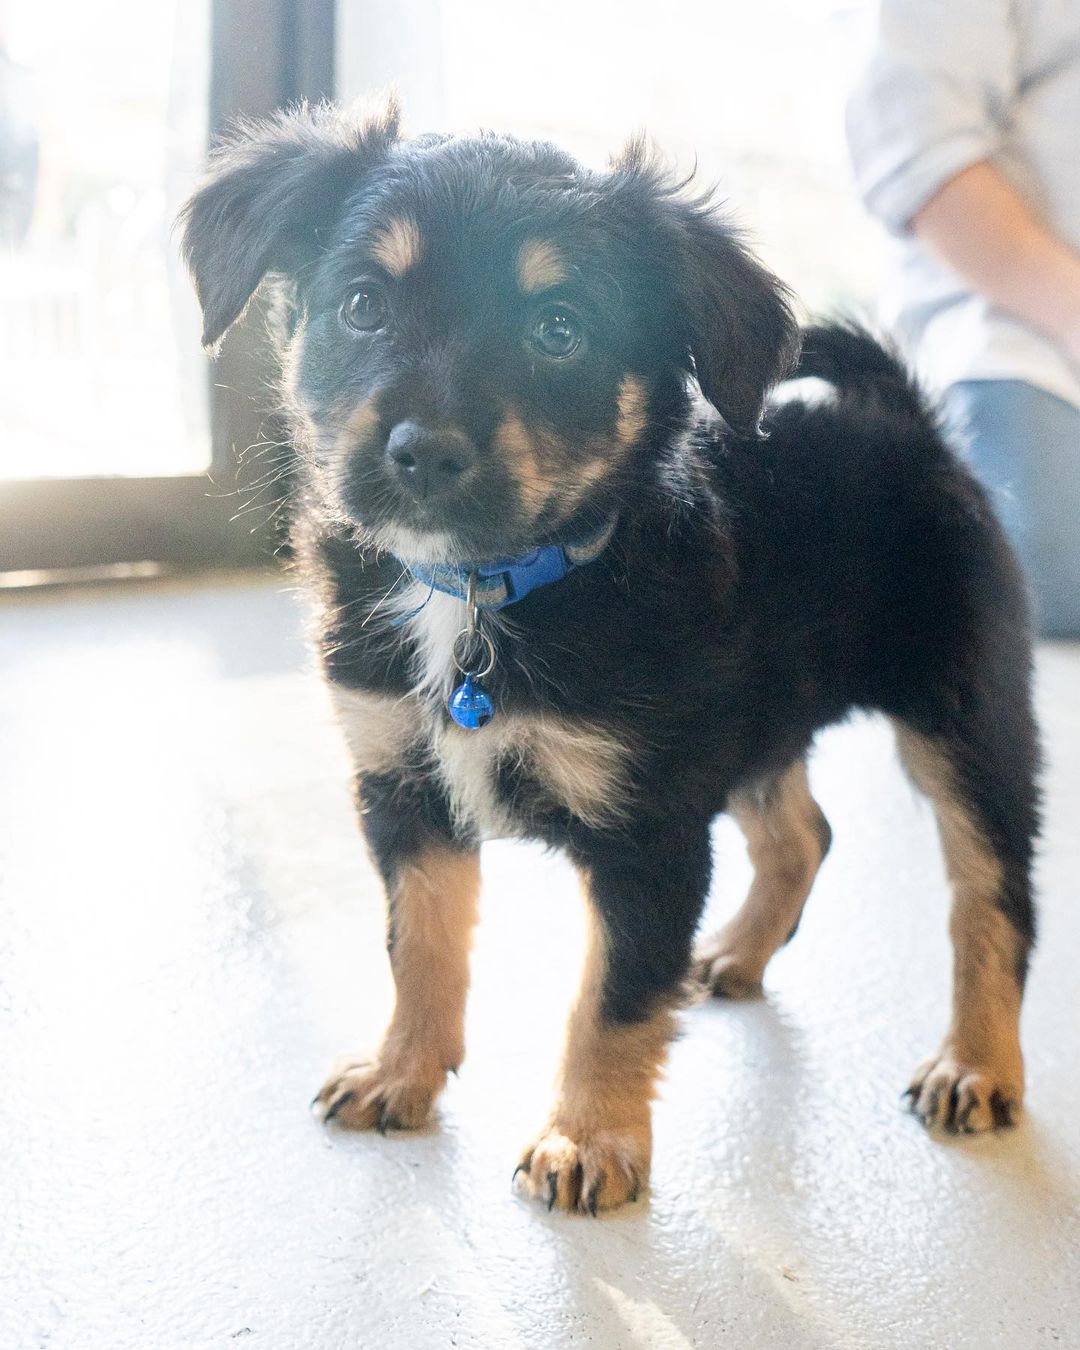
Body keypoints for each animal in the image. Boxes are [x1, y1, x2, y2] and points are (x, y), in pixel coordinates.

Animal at [176, 97, 1036, 1215]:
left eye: (560, 330)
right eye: (363, 304)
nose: (424, 452)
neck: (484, 587)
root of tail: (907, 418)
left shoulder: (649, 828)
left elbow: (614, 997)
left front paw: (588, 1140)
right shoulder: (404, 787)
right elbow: (421, 941)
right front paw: (402, 1072)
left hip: (966, 722)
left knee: (994, 898)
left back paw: (976, 1065)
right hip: (752, 723)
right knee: (802, 834)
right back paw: (736, 955)